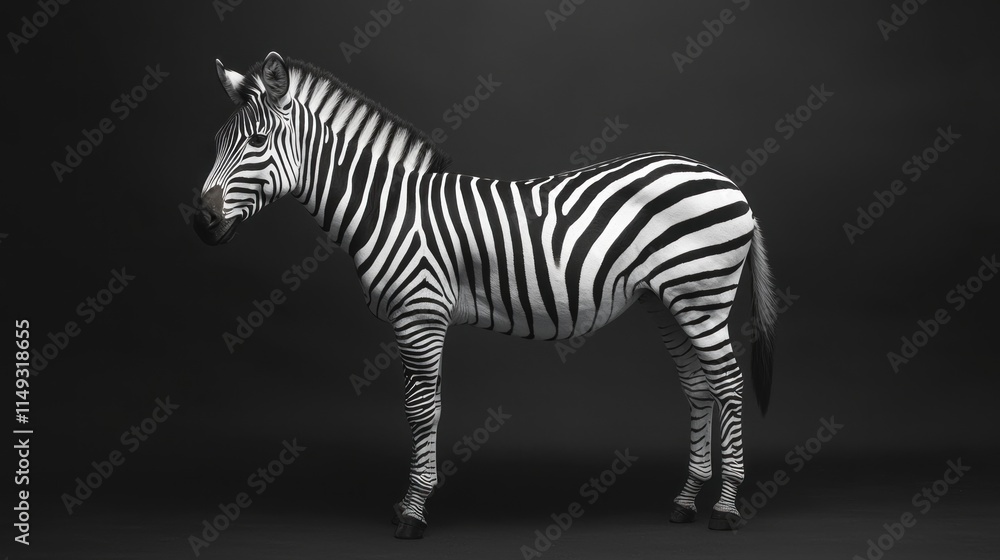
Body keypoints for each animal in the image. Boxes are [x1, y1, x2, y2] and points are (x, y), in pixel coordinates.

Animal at [194, 52, 778, 538]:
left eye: (257, 143)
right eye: (219, 142)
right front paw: (413, 500)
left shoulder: (420, 315)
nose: (201, 221)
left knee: (728, 385)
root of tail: (727, 182)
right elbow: (423, 408)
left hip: (703, 298)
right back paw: (684, 502)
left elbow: (420, 410)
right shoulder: (418, 321)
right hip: (668, 301)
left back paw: (725, 509)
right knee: (699, 389)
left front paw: (412, 512)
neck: (389, 211)